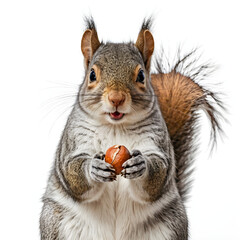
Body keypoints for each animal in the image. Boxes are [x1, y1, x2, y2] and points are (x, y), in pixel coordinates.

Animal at [39, 17, 223, 240]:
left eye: (141, 75)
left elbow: (158, 172)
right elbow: (72, 171)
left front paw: (140, 165)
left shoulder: (158, 141)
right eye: (92, 75)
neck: (115, 127)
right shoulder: (73, 141)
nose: (116, 98)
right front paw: (93, 167)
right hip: (56, 222)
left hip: (171, 224)